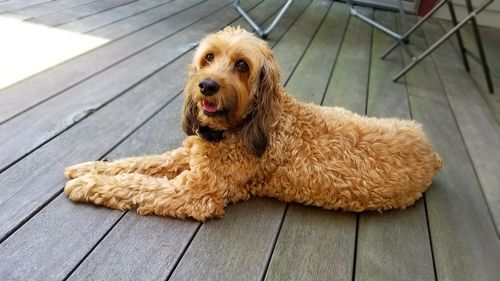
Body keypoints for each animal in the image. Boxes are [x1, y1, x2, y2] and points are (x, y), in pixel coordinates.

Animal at [63, 27, 442, 222]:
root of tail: (433, 152)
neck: (241, 126)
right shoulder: (188, 155)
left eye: (242, 65)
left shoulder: (196, 192)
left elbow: (138, 184)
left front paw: (88, 183)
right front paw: (89, 168)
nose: (207, 85)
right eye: (208, 57)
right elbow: (140, 163)